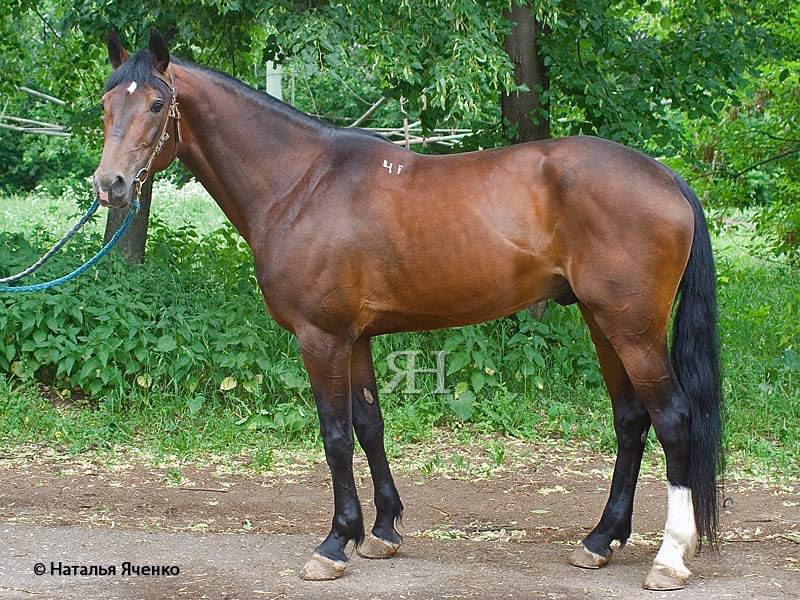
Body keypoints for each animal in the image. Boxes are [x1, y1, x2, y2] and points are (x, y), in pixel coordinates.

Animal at [95, 29, 724, 592]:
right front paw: (380, 531)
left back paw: (669, 559)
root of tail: (666, 177)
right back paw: (599, 540)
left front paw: (334, 543)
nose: (111, 185)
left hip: (632, 329)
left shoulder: (320, 337)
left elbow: (335, 435)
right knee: (631, 420)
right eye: (105, 104)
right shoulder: (355, 337)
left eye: (156, 104)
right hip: (603, 323)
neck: (301, 184)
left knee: (674, 419)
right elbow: (369, 425)